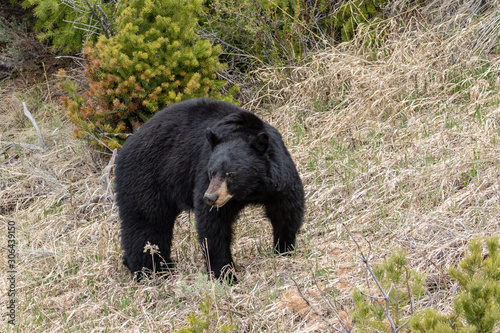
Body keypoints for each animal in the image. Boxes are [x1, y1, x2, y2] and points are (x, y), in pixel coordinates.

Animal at [115, 97, 304, 278]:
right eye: (212, 171)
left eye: (230, 174)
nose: (210, 197)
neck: (250, 191)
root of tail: (124, 148)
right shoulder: (204, 172)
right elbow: (213, 226)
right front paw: (225, 274)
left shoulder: (279, 180)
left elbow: (286, 212)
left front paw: (283, 249)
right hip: (146, 178)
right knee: (147, 224)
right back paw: (151, 270)